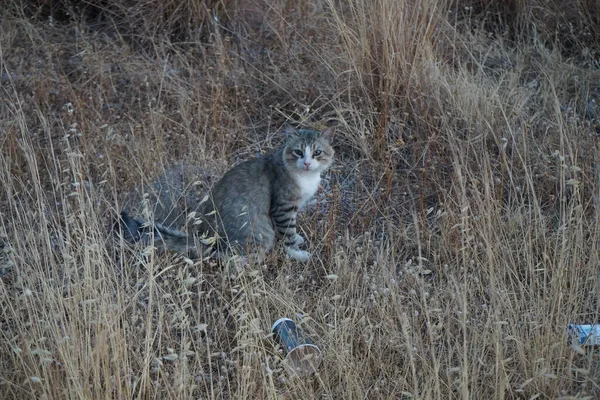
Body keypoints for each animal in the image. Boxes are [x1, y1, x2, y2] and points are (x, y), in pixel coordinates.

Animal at [117, 126, 332, 262]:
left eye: (317, 153)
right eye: (298, 152)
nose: (307, 163)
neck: (306, 177)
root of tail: (210, 240)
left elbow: (291, 231)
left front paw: (298, 240)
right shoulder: (283, 207)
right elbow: (287, 234)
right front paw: (297, 253)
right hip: (258, 235)